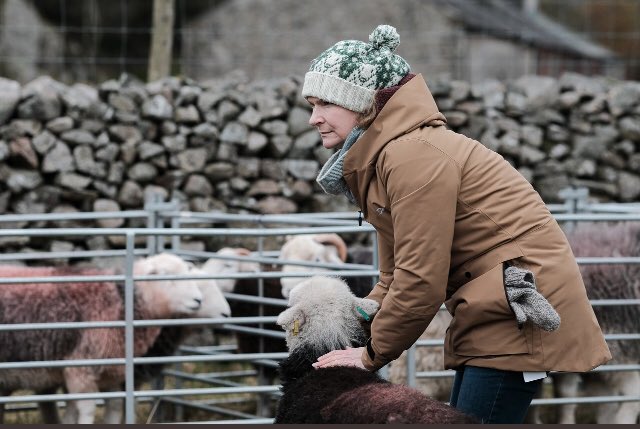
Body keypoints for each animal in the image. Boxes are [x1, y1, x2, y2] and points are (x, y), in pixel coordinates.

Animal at [0, 252, 205, 422]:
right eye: (167, 277)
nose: (198, 300)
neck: (123, 302)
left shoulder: (110, 371)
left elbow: (113, 405)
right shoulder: (81, 368)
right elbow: (87, 409)